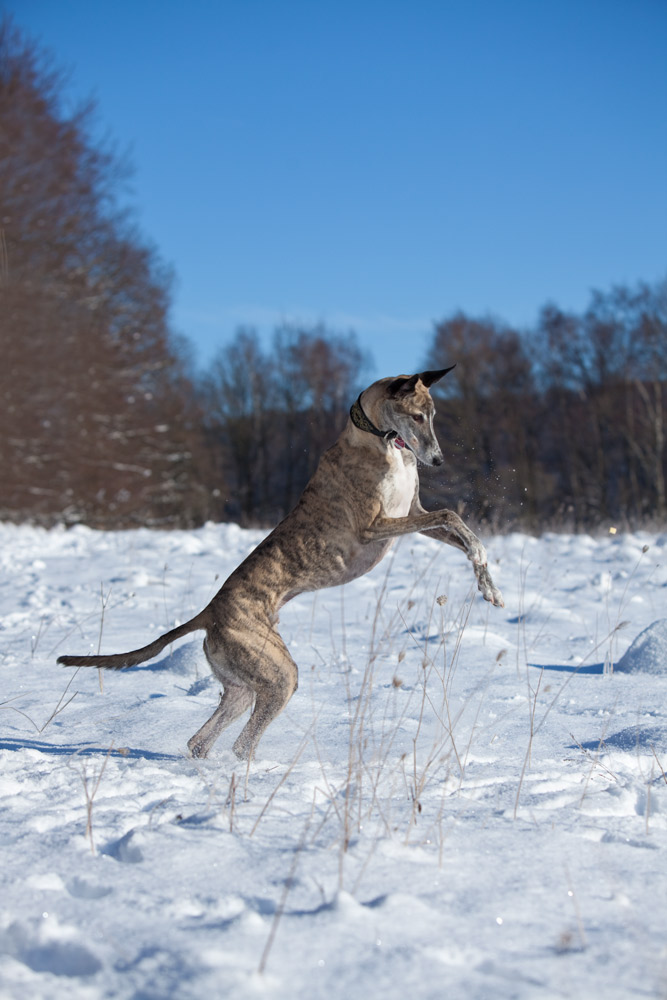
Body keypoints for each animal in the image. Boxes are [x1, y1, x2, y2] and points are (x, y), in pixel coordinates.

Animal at [58, 368, 506, 756]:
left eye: (433, 416)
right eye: (416, 417)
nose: (439, 461)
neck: (379, 442)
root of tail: (208, 613)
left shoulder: (413, 513)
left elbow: (456, 527)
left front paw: (490, 587)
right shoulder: (375, 526)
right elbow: (452, 516)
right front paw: (482, 557)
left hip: (243, 686)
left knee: (201, 741)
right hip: (278, 674)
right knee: (241, 745)